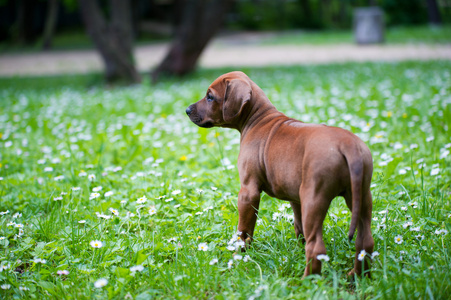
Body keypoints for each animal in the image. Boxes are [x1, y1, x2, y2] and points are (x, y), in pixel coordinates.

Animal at [185, 71, 376, 278]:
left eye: (210, 96)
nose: (187, 110)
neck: (258, 118)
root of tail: (348, 145)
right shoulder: (296, 198)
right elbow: (298, 227)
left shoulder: (248, 192)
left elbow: (244, 231)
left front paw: (239, 256)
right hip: (361, 196)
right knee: (365, 242)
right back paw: (357, 276)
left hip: (314, 199)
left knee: (316, 248)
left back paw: (308, 280)